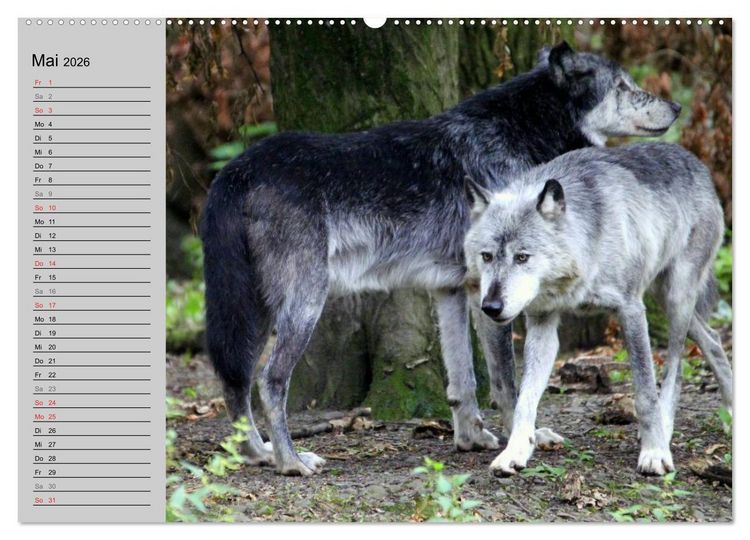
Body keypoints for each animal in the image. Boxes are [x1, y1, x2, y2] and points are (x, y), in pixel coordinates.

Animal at [201, 41, 682, 476]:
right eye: (624, 86)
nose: (676, 106)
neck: (518, 132)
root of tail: (235, 171)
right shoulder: (492, 299)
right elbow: (506, 383)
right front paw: (518, 442)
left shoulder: (453, 289)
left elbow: (462, 381)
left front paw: (470, 438)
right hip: (303, 306)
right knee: (269, 381)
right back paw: (291, 462)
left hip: (254, 310)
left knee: (234, 379)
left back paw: (257, 453)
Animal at [463, 142, 732, 476]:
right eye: (486, 256)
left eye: (522, 257)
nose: (491, 306)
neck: (587, 246)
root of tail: (690, 157)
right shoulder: (542, 324)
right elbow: (525, 398)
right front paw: (514, 452)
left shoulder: (631, 309)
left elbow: (645, 394)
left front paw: (655, 452)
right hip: (663, 298)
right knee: (712, 339)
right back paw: (732, 410)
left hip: (676, 298)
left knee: (676, 369)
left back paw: (665, 432)